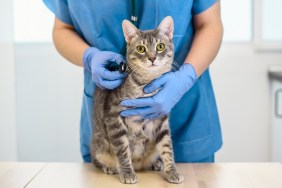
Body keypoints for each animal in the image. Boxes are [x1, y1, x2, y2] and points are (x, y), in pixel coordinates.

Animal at [90, 15, 183, 184]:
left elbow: (167, 148)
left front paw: (172, 171)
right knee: (96, 160)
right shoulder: (114, 117)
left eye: (160, 46)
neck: (146, 84)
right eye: (141, 49)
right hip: (99, 145)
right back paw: (110, 167)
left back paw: (155, 163)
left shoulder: (161, 119)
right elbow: (122, 150)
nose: (152, 58)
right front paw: (127, 173)